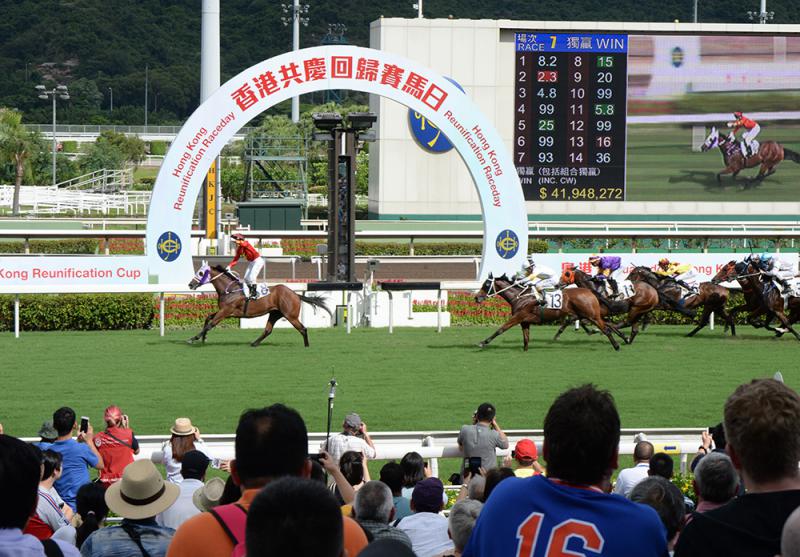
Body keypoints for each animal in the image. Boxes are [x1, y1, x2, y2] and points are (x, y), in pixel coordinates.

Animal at [186, 262, 330, 348]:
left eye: (200, 273)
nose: (190, 284)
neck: (230, 290)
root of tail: (295, 294)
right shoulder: (225, 312)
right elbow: (208, 318)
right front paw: (203, 338)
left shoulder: (226, 311)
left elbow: (210, 324)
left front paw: (193, 338)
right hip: (275, 314)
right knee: (268, 330)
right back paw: (254, 343)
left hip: (290, 315)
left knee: (303, 328)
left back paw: (307, 346)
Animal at [472, 274, 628, 350]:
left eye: (486, 284)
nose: (477, 297)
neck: (520, 297)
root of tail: (589, 290)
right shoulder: (525, 322)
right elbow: (526, 340)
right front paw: (525, 351)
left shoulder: (518, 317)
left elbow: (501, 329)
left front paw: (483, 342)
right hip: (588, 315)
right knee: (608, 325)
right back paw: (624, 338)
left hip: (591, 315)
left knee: (606, 329)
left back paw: (617, 345)